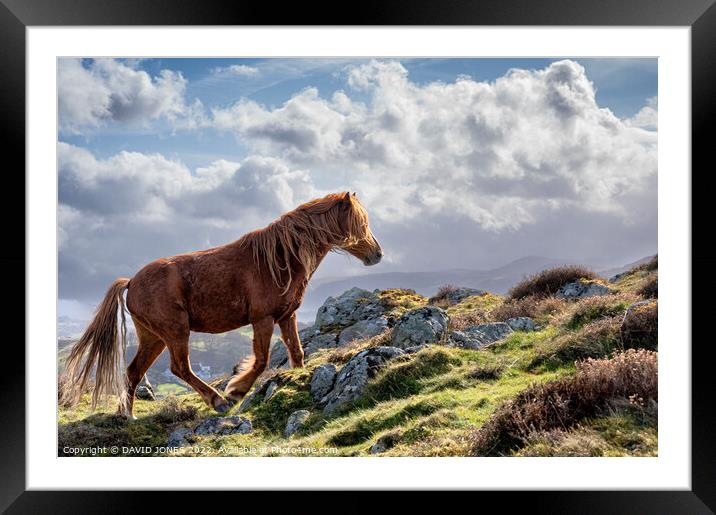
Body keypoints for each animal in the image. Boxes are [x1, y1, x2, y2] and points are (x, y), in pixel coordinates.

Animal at [61, 191, 384, 418]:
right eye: (361, 223)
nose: (377, 254)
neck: (278, 260)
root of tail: (131, 282)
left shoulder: (286, 316)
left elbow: (297, 352)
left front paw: (295, 377)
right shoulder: (263, 319)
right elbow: (262, 359)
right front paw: (236, 391)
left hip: (153, 337)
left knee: (133, 372)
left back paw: (128, 415)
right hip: (175, 332)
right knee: (180, 368)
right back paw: (217, 401)